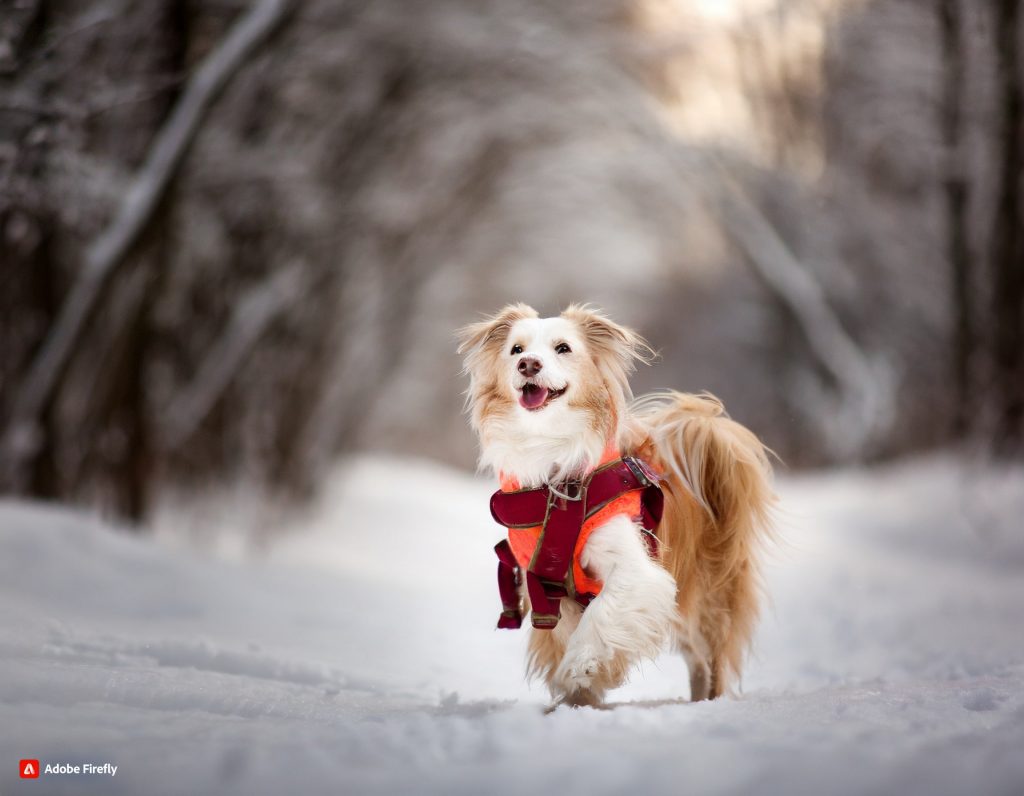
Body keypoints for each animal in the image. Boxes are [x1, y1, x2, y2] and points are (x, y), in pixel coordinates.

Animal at [458, 301, 774, 704]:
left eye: (563, 348)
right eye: (516, 350)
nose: (528, 364)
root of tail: (708, 430)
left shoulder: (636, 572)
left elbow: (601, 618)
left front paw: (581, 666)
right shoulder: (545, 586)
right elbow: (565, 635)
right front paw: (577, 699)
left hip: (710, 598)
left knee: (713, 656)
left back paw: (710, 702)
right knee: (698, 662)